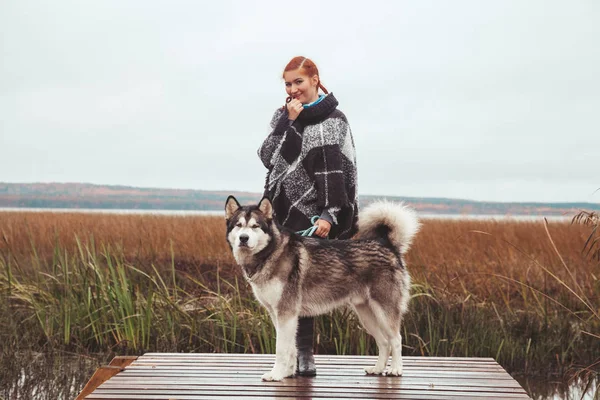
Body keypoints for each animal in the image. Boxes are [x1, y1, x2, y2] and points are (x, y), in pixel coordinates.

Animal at [223, 196, 420, 382]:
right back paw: (377, 369)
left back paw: (396, 369)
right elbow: (291, 348)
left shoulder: (286, 312)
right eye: (238, 225)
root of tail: (387, 245)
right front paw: (287, 373)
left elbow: (281, 349)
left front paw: (276, 374)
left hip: (384, 311)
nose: (243, 238)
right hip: (366, 315)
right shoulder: (278, 314)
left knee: (396, 339)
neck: (270, 253)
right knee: (384, 342)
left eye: (255, 226)